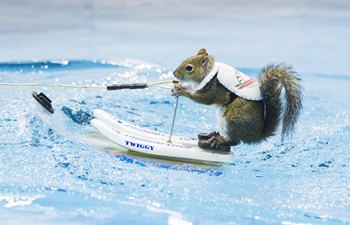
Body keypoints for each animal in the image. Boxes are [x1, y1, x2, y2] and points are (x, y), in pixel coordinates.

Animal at [173, 48, 304, 152]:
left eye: (189, 68)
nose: (174, 74)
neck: (210, 72)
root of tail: (255, 136)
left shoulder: (216, 89)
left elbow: (204, 98)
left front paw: (182, 91)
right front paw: (179, 86)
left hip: (234, 119)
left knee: (234, 142)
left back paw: (218, 140)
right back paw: (212, 134)